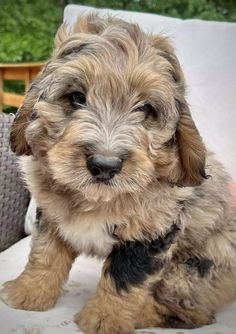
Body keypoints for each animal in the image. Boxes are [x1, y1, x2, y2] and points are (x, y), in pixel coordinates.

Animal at [0, 13, 235, 334]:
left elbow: (124, 278)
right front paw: (30, 291)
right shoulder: (52, 214)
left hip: (194, 268)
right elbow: (44, 254)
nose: (105, 165)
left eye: (146, 108)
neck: (98, 198)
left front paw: (105, 319)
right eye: (76, 97)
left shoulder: (151, 232)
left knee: (190, 311)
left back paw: (144, 315)